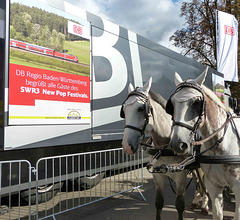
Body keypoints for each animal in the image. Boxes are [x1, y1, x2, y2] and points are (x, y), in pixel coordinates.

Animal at [122, 78, 208, 220]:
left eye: (141, 108)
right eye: (123, 110)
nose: (127, 146)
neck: (165, 144)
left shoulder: (181, 177)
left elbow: (179, 205)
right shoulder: (158, 176)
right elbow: (159, 203)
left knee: (204, 184)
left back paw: (205, 205)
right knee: (197, 182)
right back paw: (196, 201)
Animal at [169, 68, 240, 219]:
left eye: (196, 102)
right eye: (171, 104)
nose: (178, 143)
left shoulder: (238, 188)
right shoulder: (214, 186)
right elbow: (217, 214)